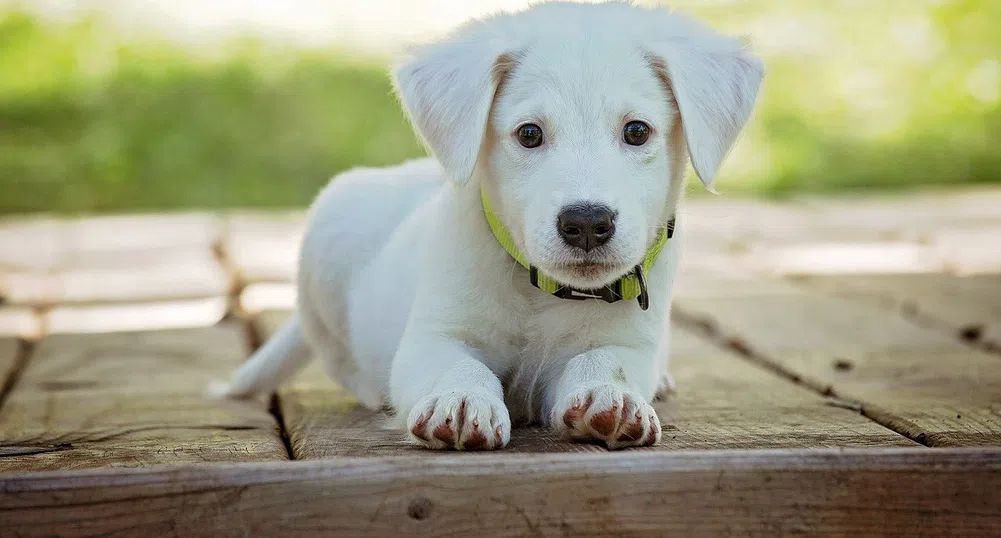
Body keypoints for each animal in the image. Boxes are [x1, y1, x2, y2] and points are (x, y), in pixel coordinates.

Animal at [215, 0, 760, 448]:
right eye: (530, 134)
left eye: (637, 131)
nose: (587, 223)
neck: (543, 293)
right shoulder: (433, 337)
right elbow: (457, 365)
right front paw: (459, 400)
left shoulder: (628, 342)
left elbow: (604, 361)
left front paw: (612, 396)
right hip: (328, 237)